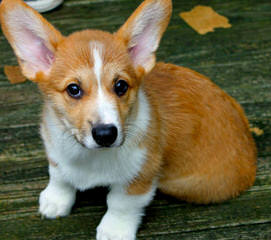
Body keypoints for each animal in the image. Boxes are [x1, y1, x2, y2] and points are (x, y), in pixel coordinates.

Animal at [0, 0, 258, 239]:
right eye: (73, 89)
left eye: (121, 86)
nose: (106, 134)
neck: (90, 157)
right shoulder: (55, 150)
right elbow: (59, 175)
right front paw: (55, 200)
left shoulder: (140, 174)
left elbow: (120, 203)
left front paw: (114, 230)